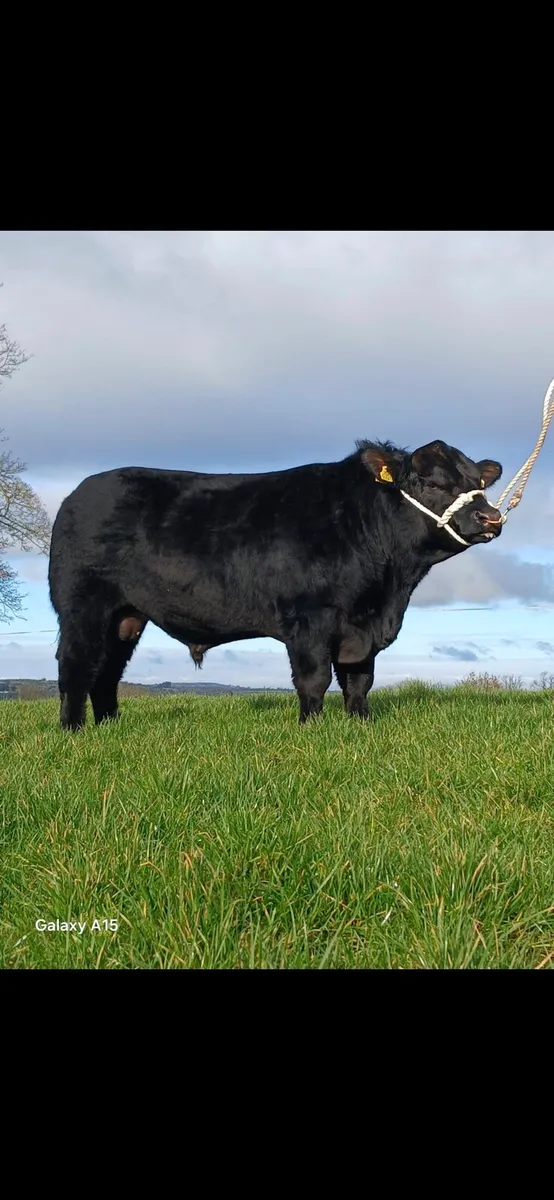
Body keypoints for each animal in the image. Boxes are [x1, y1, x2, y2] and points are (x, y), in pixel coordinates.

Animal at [48, 437, 503, 729]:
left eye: (479, 484)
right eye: (432, 482)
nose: (491, 517)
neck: (390, 589)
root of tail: (79, 493)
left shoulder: (363, 626)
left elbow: (359, 680)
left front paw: (361, 725)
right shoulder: (309, 617)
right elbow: (314, 679)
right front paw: (311, 729)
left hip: (127, 616)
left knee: (107, 672)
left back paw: (110, 728)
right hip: (83, 606)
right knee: (77, 665)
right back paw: (74, 731)